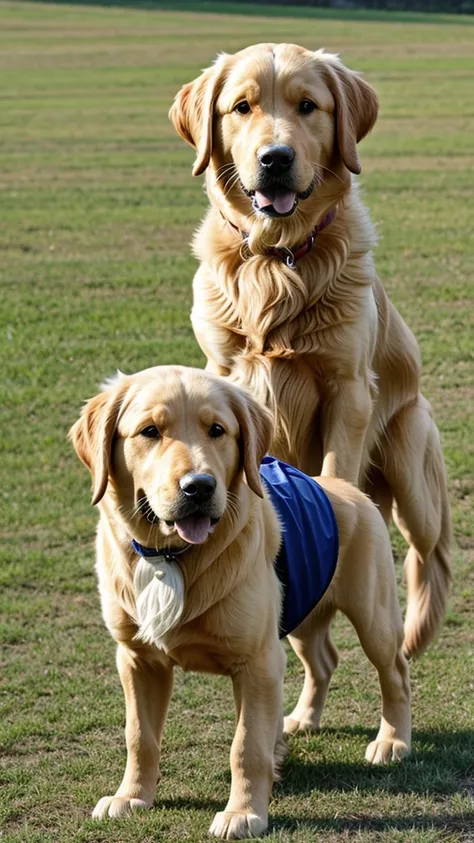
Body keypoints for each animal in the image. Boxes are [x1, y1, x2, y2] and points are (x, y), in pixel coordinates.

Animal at [69, 366, 412, 840]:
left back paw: (392, 741)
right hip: (298, 612)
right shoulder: (138, 659)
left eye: (218, 430)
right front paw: (132, 797)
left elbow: (246, 745)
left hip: (372, 615)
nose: (198, 487)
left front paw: (244, 813)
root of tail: (336, 484)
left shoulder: (257, 661)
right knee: (324, 660)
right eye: (149, 431)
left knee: (395, 671)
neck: (172, 557)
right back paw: (302, 720)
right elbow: (139, 737)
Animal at [169, 41, 452, 660]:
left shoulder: (347, 388)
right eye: (242, 106)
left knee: (433, 552)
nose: (275, 158)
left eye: (307, 106)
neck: (278, 262)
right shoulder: (229, 375)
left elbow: (337, 467)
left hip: (411, 464)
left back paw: (416, 630)